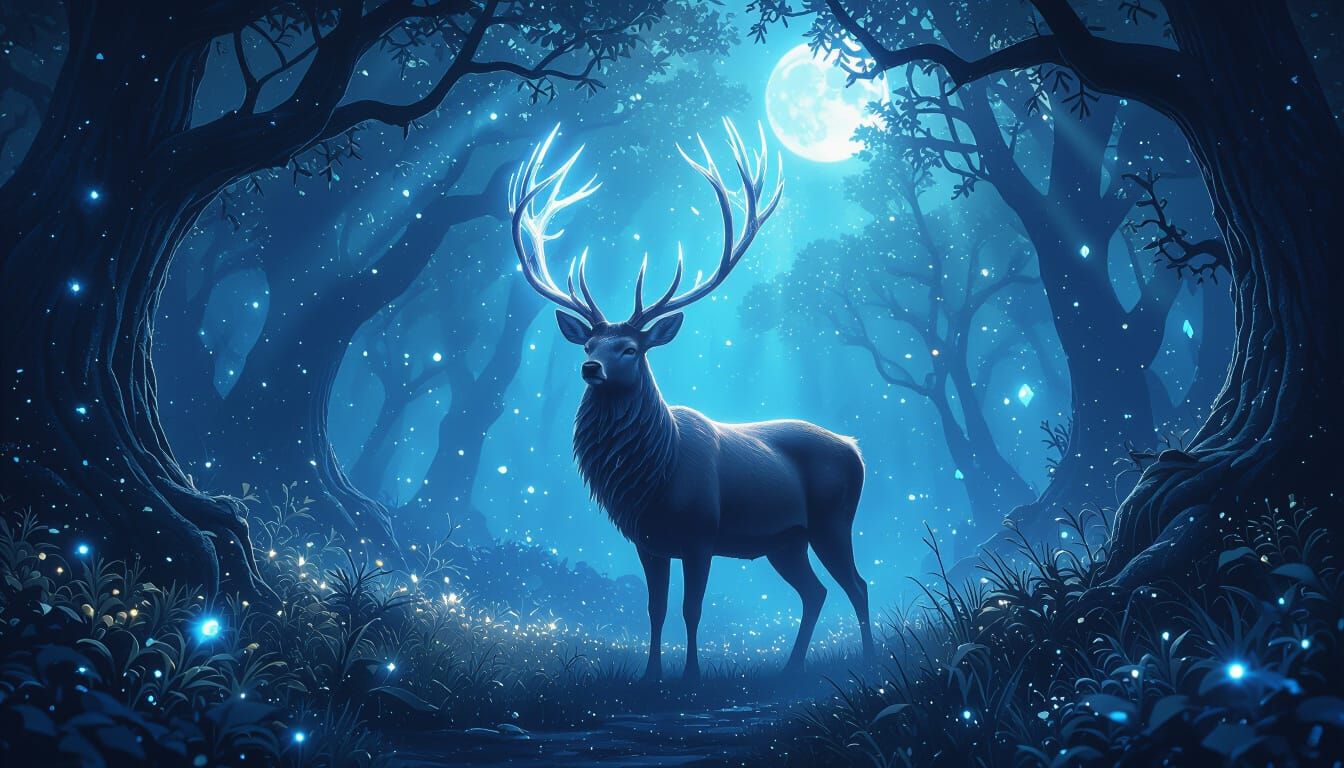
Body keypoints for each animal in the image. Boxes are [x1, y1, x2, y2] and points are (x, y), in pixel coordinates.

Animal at [508, 121, 874, 680]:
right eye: (589, 345)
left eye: (630, 349)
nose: (590, 369)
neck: (653, 475)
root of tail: (855, 447)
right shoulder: (648, 541)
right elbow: (655, 609)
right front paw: (651, 677)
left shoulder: (702, 533)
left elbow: (692, 608)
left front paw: (692, 678)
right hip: (785, 540)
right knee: (815, 593)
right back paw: (791, 669)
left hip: (833, 521)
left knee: (857, 585)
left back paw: (873, 660)